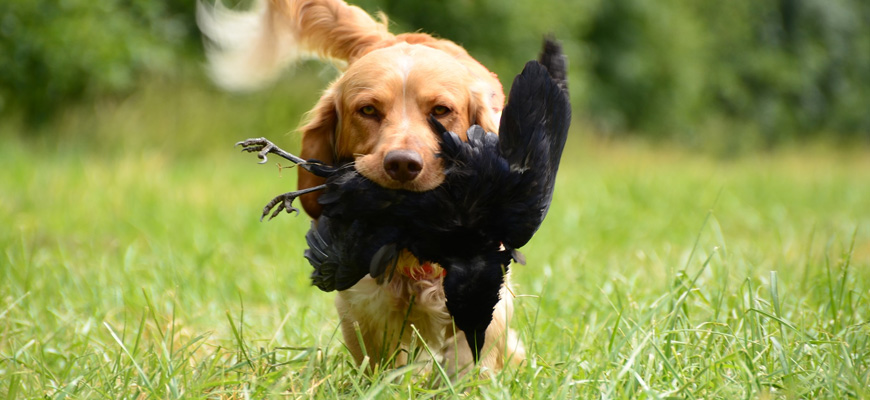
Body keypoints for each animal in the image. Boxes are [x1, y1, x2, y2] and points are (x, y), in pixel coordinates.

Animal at [198, 0, 524, 376]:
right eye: (367, 110)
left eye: (442, 110)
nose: (403, 164)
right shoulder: (362, 303)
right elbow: (381, 360)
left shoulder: (486, 292)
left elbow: (470, 350)